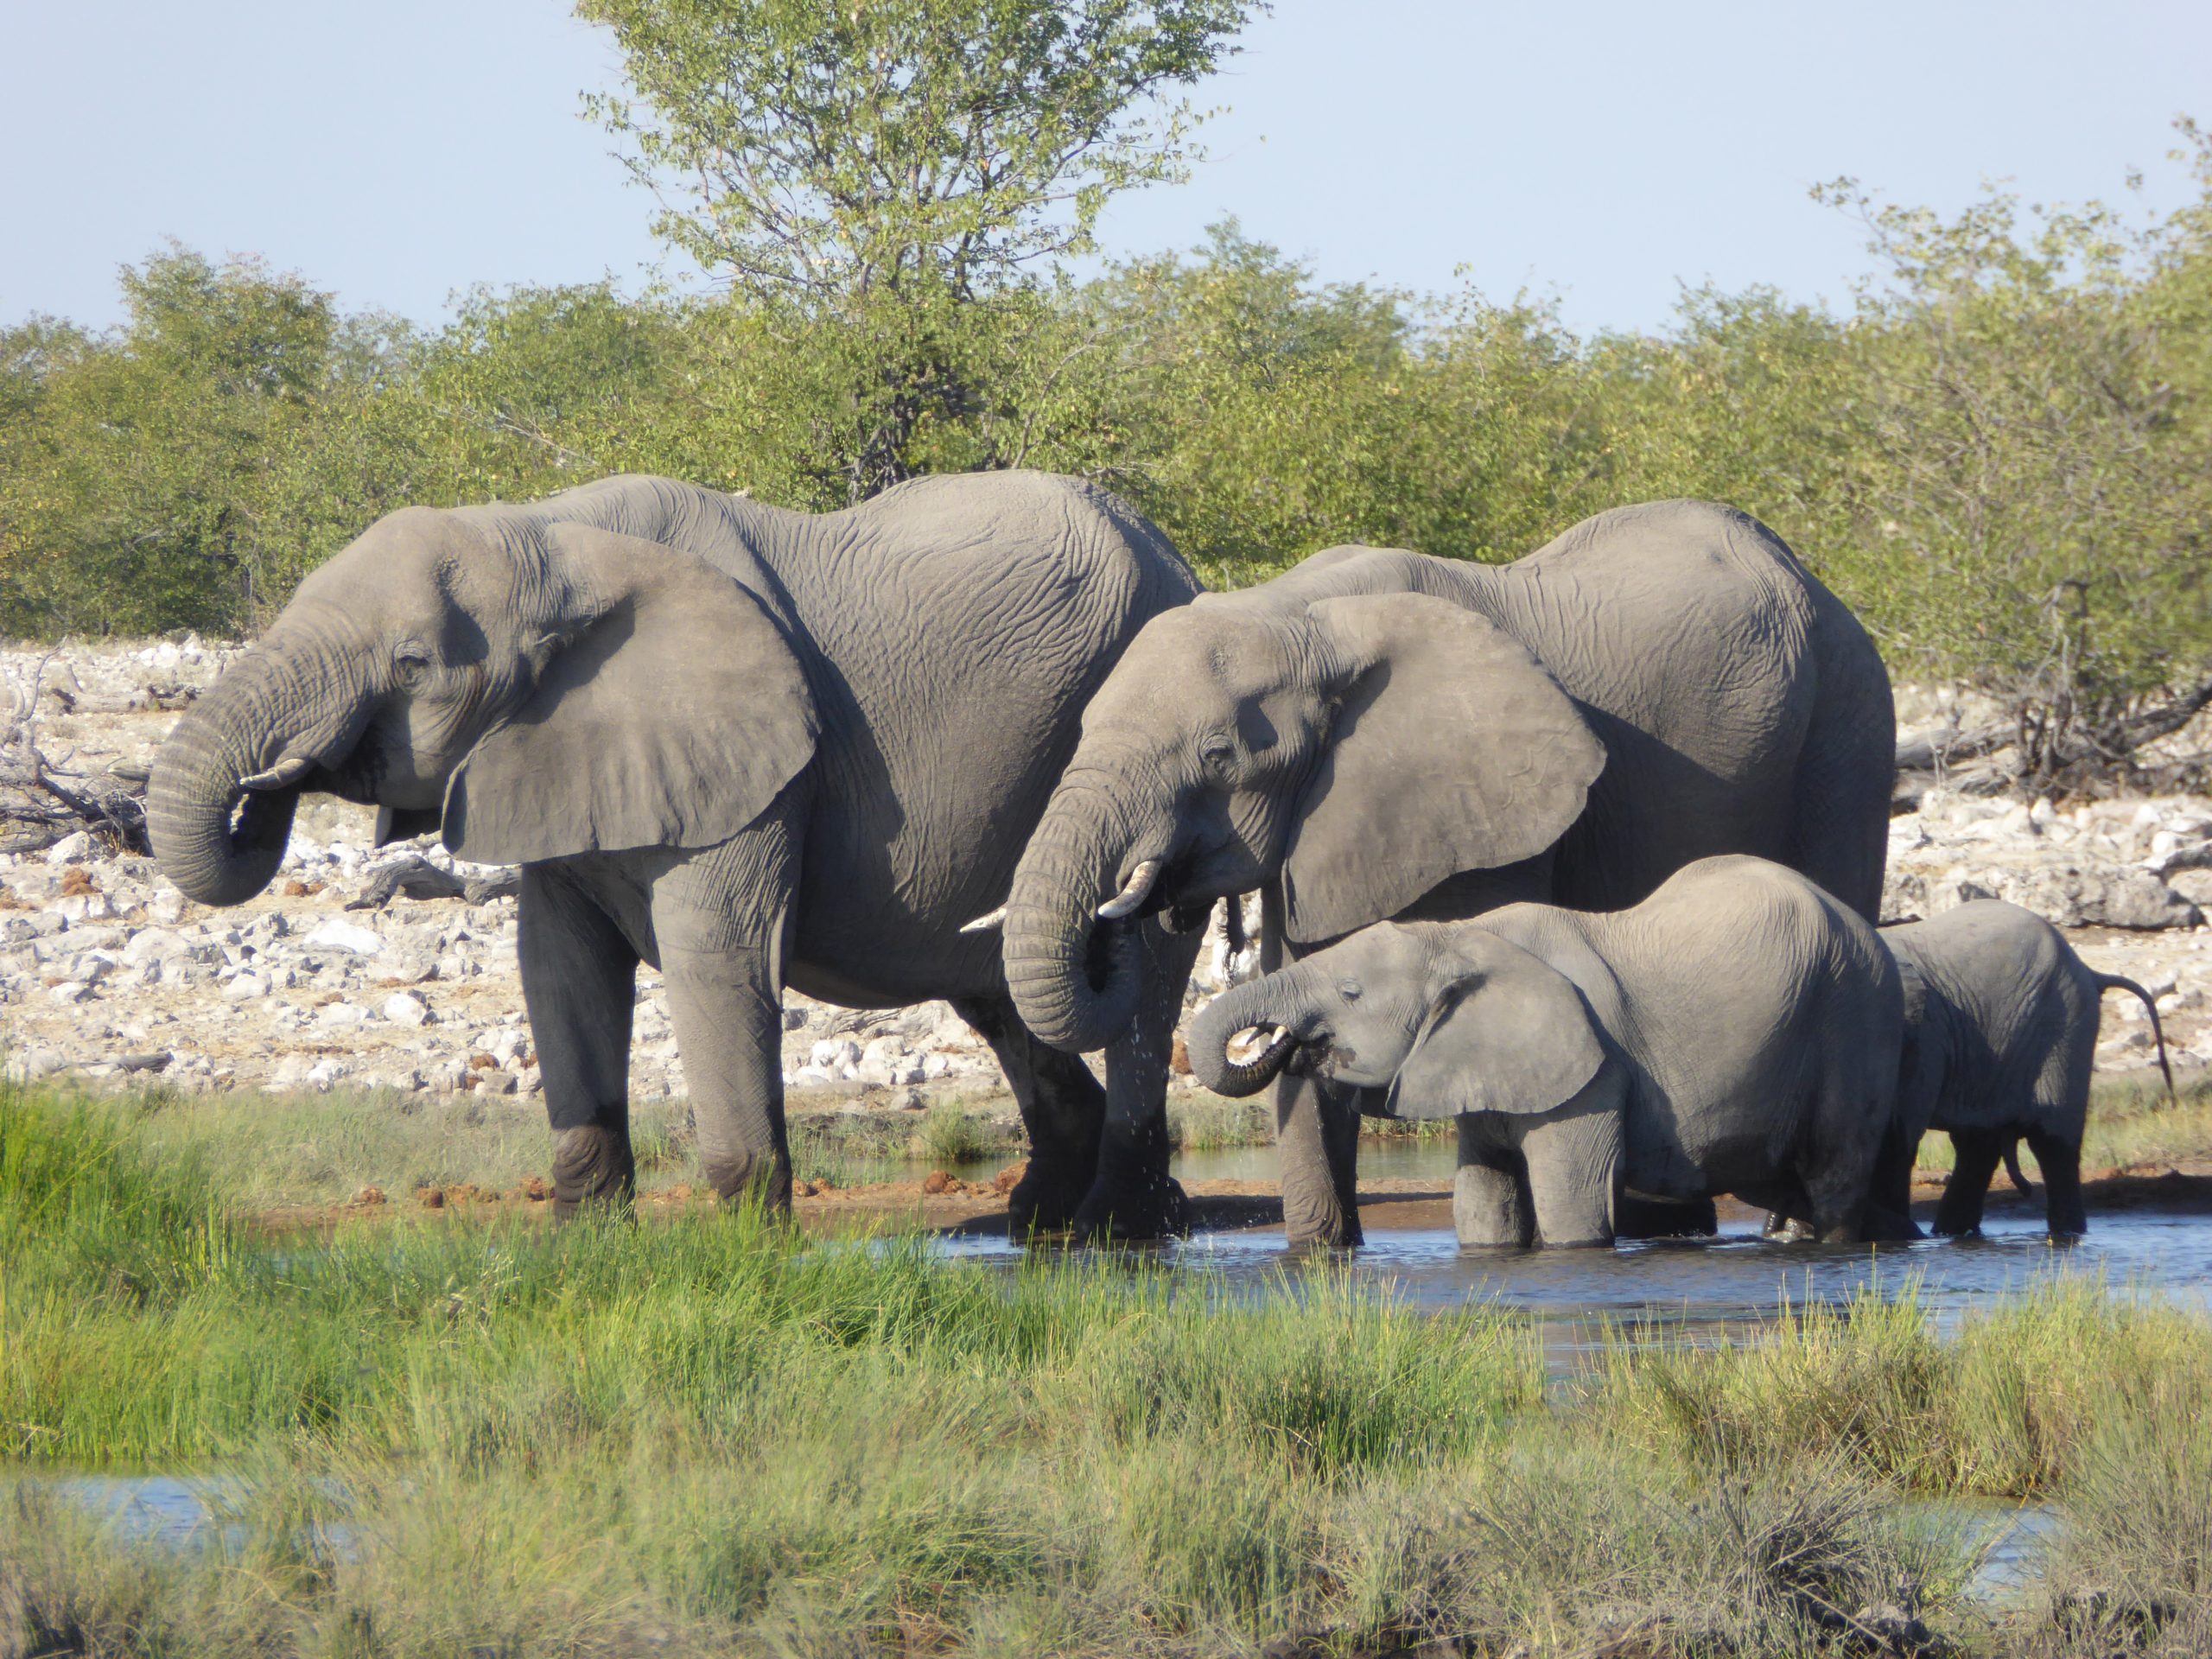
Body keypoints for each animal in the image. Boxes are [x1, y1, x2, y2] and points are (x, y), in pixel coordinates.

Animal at [147, 473, 1203, 1230]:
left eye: (411, 665)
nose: (270, 784)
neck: (548, 536)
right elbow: (559, 970)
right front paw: (585, 1250)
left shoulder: (757, 773)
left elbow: (718, 959)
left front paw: (746, 1260)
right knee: (998, 988)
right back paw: (1039, 1221)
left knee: (1142, 974)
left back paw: (1120, 1229)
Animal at [1185, 858, 1910, 1247]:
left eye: (1350, 992)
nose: (1284, 1039)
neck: (1460, 936)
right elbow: (1484, 1202)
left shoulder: (1591, 1073)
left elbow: (1571, 1205)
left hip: (1856, 1019)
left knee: (1835, 1179)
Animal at [1885, 902, 2177, 1238]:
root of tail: (2089, 971)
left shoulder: (1922, 1040)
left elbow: (1895, 1135)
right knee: (1977, 1145)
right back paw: (1951, 1235)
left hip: (2064, 1025)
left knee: (2052, 1144)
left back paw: (2066, 1234)